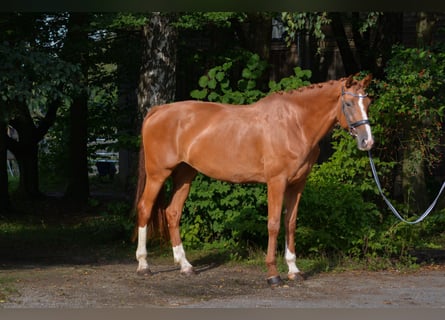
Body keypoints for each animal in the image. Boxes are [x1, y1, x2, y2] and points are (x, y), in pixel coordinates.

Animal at [134, 74, 372, 284]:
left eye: (368, 102)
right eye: (349, 103)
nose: (367, 141)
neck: (295, 124)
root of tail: (157, 111)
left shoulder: (297, 184)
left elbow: (291, 223)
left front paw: (294, 270)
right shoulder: (276, 182)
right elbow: (274, 224)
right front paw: (273, 274)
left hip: (185, 174)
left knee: (172, 212)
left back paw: (185, 266)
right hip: (157, 174)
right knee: (145, 208)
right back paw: (144, 265)